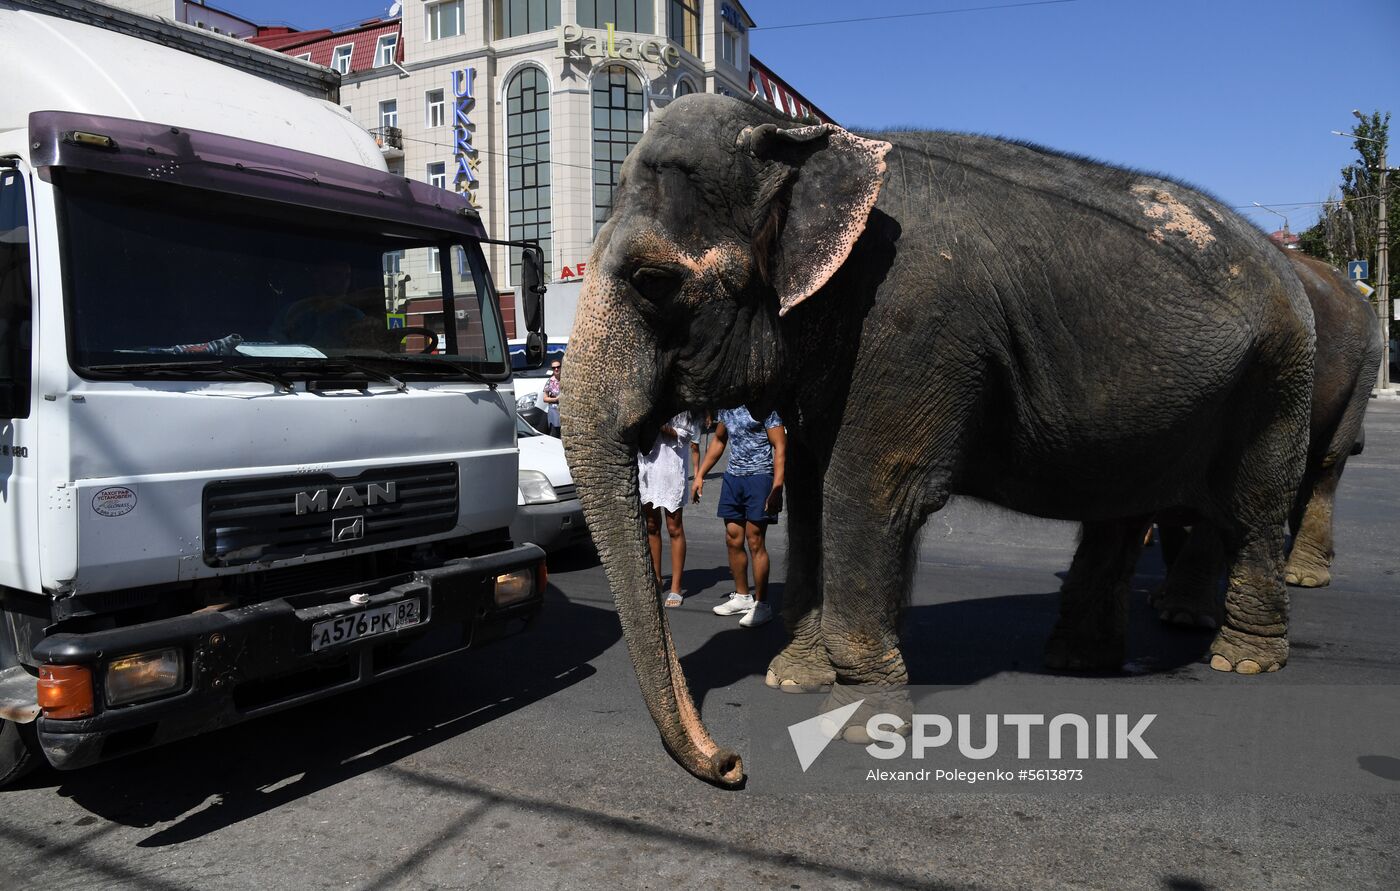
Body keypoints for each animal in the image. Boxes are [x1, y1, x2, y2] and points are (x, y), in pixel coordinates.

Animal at [561, 94, 1315, 786]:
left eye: (652, 280)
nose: (731, 763)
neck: (809, 140)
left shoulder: (913, 320)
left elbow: (868, 490)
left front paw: (859, 723)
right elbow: (808, 488)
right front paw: (794, 679)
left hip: (1279, 378)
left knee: (1251, 512)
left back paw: (1242, 657)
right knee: (1122, 514)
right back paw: (1079, 660)